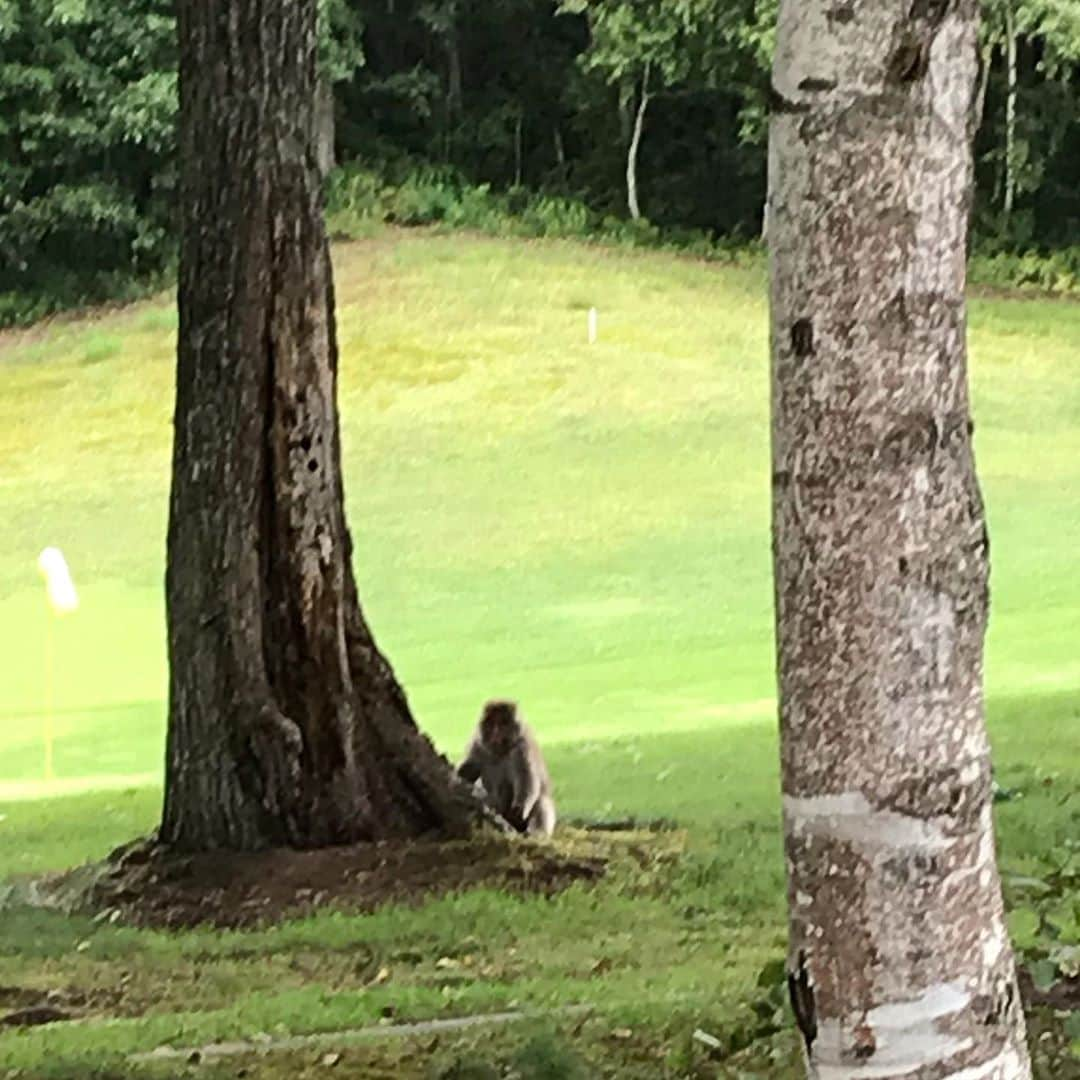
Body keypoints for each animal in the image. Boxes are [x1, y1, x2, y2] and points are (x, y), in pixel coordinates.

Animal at [457, 695, 557, 838]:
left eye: (502, 724)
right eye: (492, 723)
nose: (495, 733)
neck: (501, 751)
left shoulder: (523, 748)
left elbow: (527, 780)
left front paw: (519, 808)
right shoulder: (477, 744)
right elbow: (469, 770)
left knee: (542, 801)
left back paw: (537, 833)